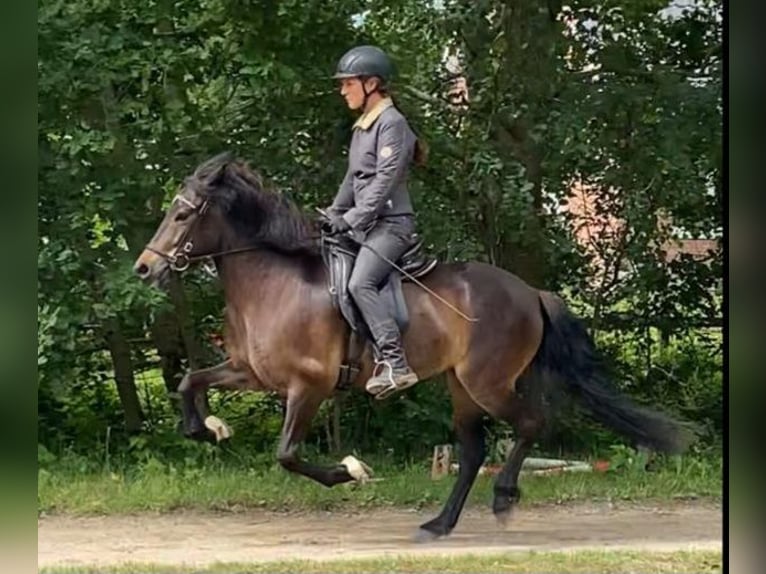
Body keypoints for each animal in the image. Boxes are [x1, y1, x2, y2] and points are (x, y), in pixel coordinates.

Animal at [133, 152, 694, 539]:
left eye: (183, 216)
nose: (144, 268)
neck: (273, 282)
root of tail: (530, 292)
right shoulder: (250, 371)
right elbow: (190, 381)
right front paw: (206, 428)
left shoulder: (308, 384)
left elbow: (288, 455)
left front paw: (350, 471)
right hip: (461, 386)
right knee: (473, 450)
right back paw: (439, 524)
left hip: (487, 382)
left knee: (530, 424)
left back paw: (503, 499)